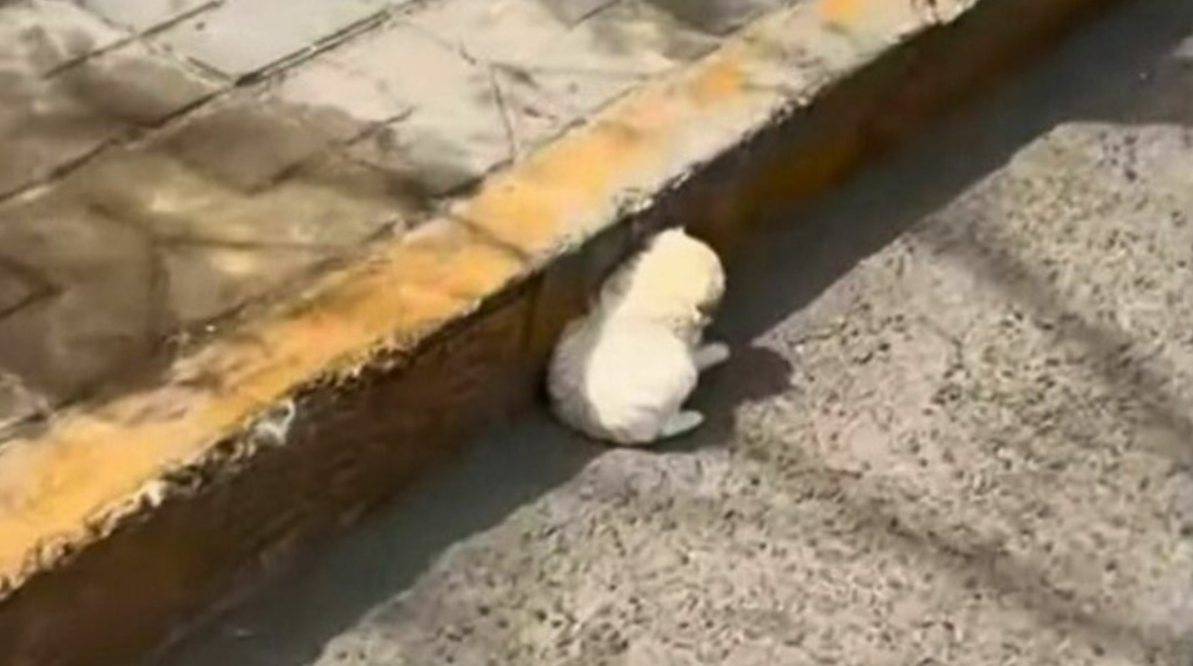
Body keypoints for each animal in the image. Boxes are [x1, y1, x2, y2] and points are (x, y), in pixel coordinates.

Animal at [546, 226, 725, 446]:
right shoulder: (683, 344)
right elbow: (698, 355)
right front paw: (717, 350)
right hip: (680, 375)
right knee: (659, 429)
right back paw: (690, 418)